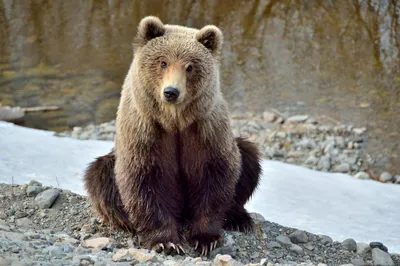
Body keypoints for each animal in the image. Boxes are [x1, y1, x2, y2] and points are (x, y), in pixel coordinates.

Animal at [83, 16, 260, 256]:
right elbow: (145, 182)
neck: (174, 121)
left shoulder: (205, 131)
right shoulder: (146, 133)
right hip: (110, 166)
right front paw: (166, 241)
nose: (171, 92)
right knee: (100, 177)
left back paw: (240, 218)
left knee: (248, 159)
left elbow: (215, 177)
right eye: (163, 62)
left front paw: (205, 238)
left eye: (190, 66)